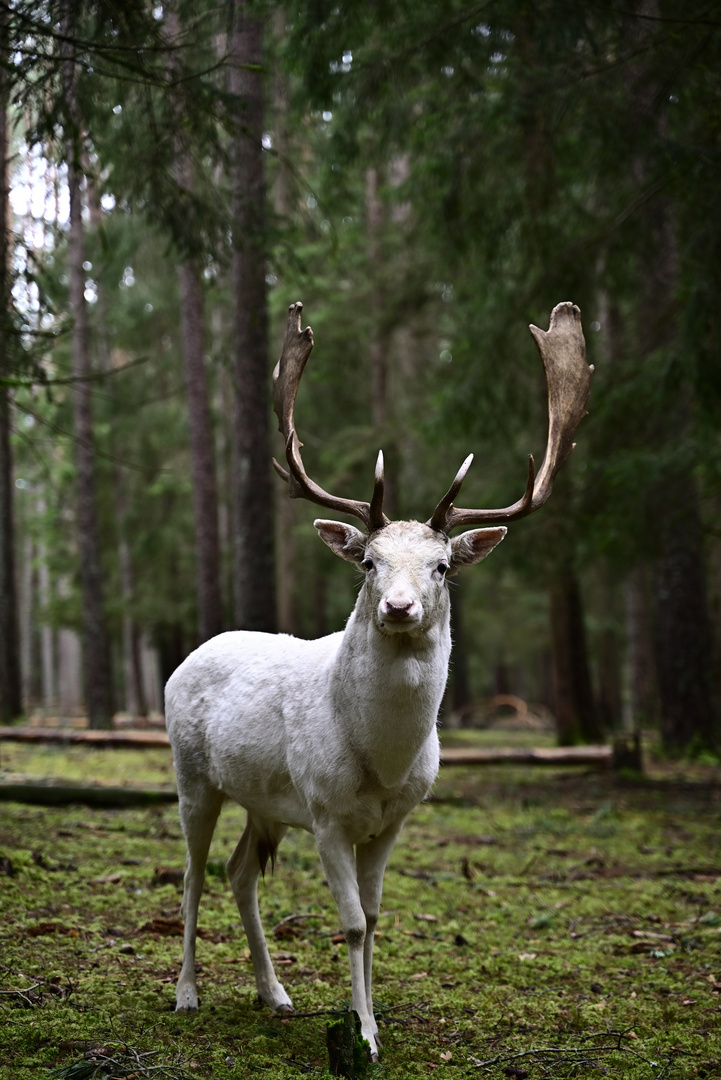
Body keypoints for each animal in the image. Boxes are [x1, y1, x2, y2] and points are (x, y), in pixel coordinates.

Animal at [165, 300, 591, 1058]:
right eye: (369, 561)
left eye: (442, 566)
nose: (398, 607)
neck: (382, 762)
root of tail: (186, 657)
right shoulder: (327, 812)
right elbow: (353, 923)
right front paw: (361, 1033)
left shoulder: (393, 821)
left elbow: (376, 915)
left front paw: (369, 1021)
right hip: (192, 775)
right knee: (190, 873)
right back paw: (186, 993)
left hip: (266, 800)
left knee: (239, 872)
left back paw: (274, 993)